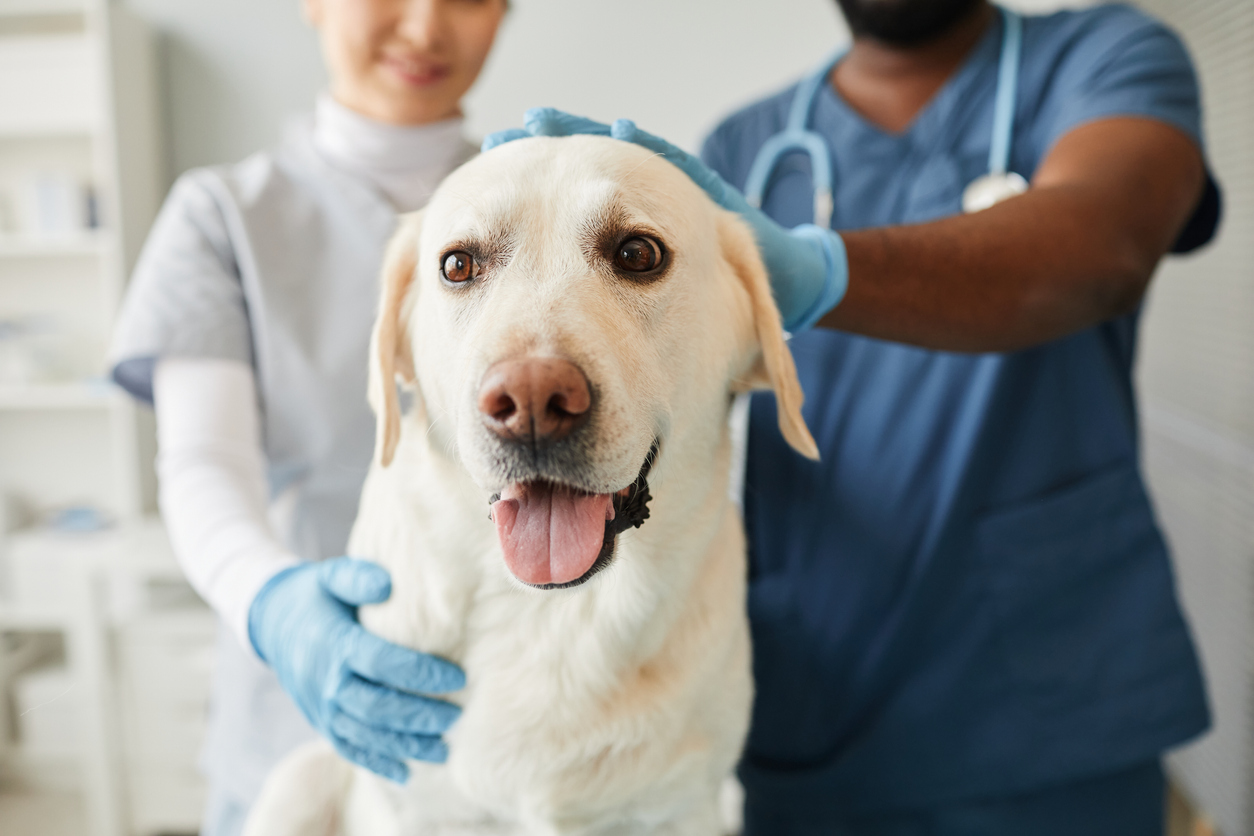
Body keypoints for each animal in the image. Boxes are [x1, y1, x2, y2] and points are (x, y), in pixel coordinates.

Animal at [247, 134, 812, 832]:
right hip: (296, 781)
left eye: (638, 253)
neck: (552, 615)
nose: (533, 402)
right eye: (457, 265)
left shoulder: (686, 808)